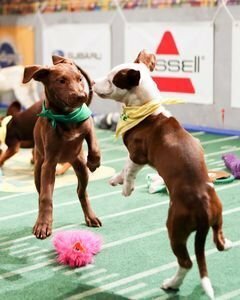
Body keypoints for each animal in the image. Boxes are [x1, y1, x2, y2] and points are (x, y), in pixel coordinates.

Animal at [22, 55, 101, 239]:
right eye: (61, 81)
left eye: (79, 79)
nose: (82, 96)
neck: (67, 116)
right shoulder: (49, 163)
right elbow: (46, 197)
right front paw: (43, 224)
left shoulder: (88, 123)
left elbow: (93, 143)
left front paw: (94, 161)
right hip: (39, 171)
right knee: (42, 194)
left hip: (80, 167)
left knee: (81, 192)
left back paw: (90, 216)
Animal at [93, 50, 232, 298]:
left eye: (111, 79)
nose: (90, 82)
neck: (145, 109)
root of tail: (204, 204)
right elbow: (124, 168)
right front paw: (116, 179)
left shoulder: (138, 155)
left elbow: (129, 168)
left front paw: (126, 187)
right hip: (218, 218)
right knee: (218, 241)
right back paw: (228, 243)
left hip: (175, 227)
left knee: (186, 262)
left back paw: (171, 284)